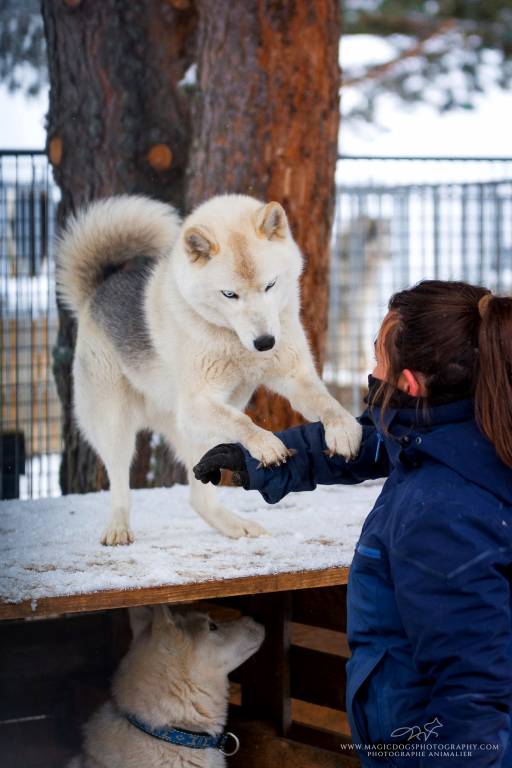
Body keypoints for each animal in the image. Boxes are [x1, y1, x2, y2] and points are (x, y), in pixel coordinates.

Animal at [58, 196, 362, 544]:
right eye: (230, 294)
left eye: (270, 285)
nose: (265, 342)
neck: (234, 341)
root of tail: (98, 289)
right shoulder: (196, 404)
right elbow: (243, 422)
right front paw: (266, 444)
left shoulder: (295, 378)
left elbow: (328, 404)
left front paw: (344, 430)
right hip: (118, 426)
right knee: (121, 483)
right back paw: (118, 529)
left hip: (197, 437)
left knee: (199, 497)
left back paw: (237, 526)